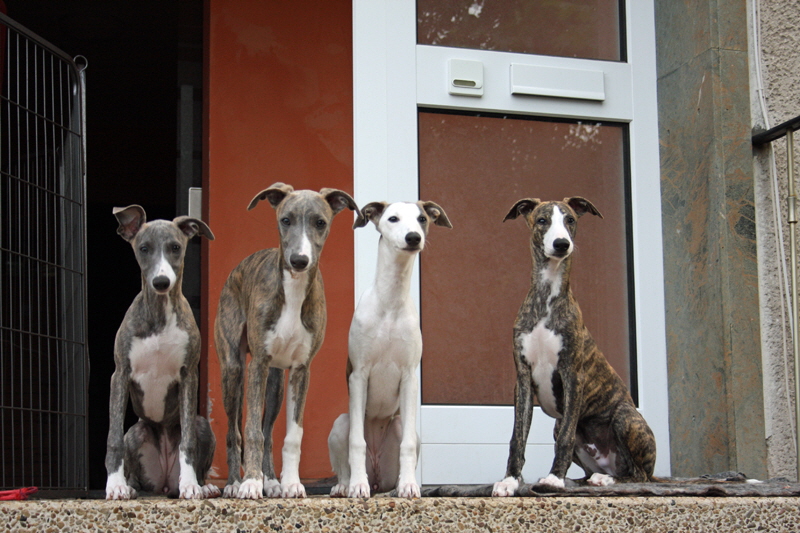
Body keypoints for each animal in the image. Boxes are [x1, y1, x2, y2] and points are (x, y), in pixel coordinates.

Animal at [108, 205, 219, 498]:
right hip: (136, 432)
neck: (158, 314)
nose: (161, 282)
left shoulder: (189, 375)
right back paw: (130, 486)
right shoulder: (119, 374)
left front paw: (190, 485)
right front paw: (114, 486)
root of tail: (165, 483)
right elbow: (113, 438)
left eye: (175, 247)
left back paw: (204, 486)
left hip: (203, 425)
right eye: (144, 248)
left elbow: (188, 442)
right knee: (135, 471)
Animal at [216, 183, 360, 498]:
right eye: (285, 220)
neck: (293, 290)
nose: (299, 261)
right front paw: (250, 483)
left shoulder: (300, 370)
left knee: (269, 431)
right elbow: (251, 430)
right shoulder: (257, 364)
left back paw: (270, 480)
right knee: (234, 431)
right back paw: (234, 482)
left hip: (276, 384)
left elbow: (292, 435)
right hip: (233, 371)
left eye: (320, 222)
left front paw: (291, 483)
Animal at [494, 196, 656, 498]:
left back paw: (604, 480)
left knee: (638, 476)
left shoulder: (572, 374)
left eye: (570, 220)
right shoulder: (522, 377)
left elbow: (567, 437)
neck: (547, 298)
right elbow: (517, 437)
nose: (562, 244)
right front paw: (510, 480)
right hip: (561, 428)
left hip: (626, 417)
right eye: (542, 220)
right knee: (594, 471)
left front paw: (554, 480)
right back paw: (581, 480)